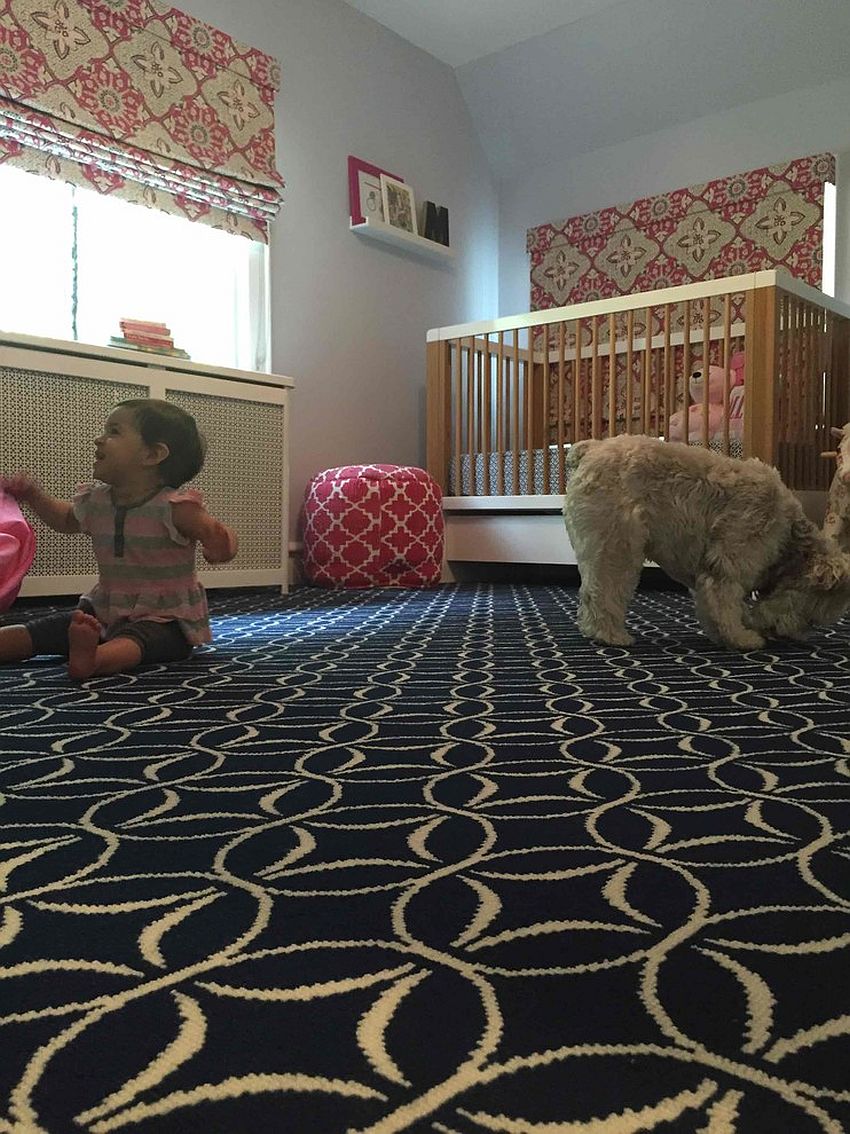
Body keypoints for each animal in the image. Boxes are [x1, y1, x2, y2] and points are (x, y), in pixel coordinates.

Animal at [562, 430, 850, 653]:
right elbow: (726, 605)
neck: (788, 535)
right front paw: (742, 638)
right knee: (603, 591)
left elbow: (713, 608)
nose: (791, 634)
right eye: (811, 616)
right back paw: (610, 634)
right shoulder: (729, 564)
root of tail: (591, 448)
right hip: (617, 545)